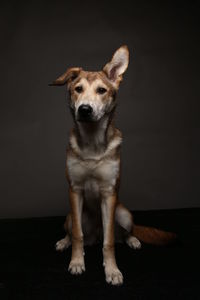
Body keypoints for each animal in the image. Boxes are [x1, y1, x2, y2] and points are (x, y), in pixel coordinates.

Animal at [49, 45, 176, 284]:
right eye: (77, 89)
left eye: (101, 90)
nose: (85, 109)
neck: (92, 143)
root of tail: (95, 235)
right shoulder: (75, 190)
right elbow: (78, 235)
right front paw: (77, 262)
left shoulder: (109, 194)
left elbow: (108, 242)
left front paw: (112, 270)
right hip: (70, 217)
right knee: (74, 231)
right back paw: (64, 242)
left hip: (123, 213)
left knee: (122, 233)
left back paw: (132, 240)